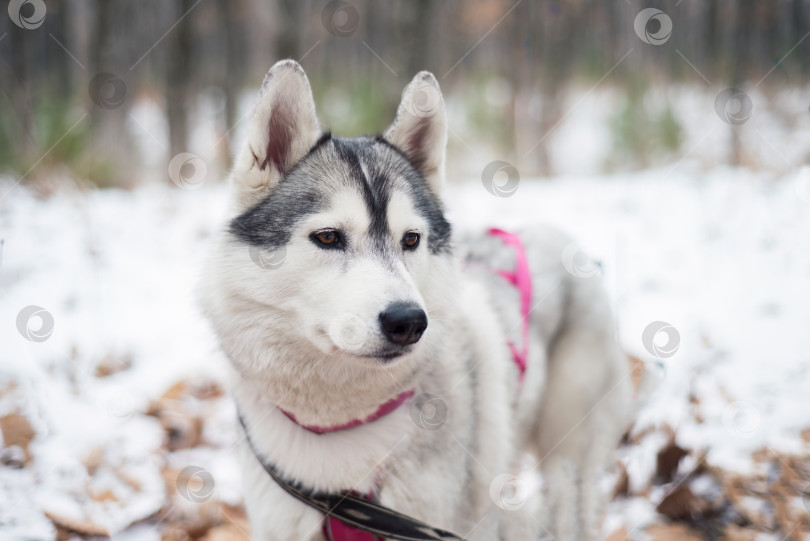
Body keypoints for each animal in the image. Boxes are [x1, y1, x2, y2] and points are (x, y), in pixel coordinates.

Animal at [197, 60, 632, 540]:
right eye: (328, 237)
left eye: (411, 239)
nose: (408, 321)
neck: (343, 429)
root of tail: (562, 239)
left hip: (567, 459)